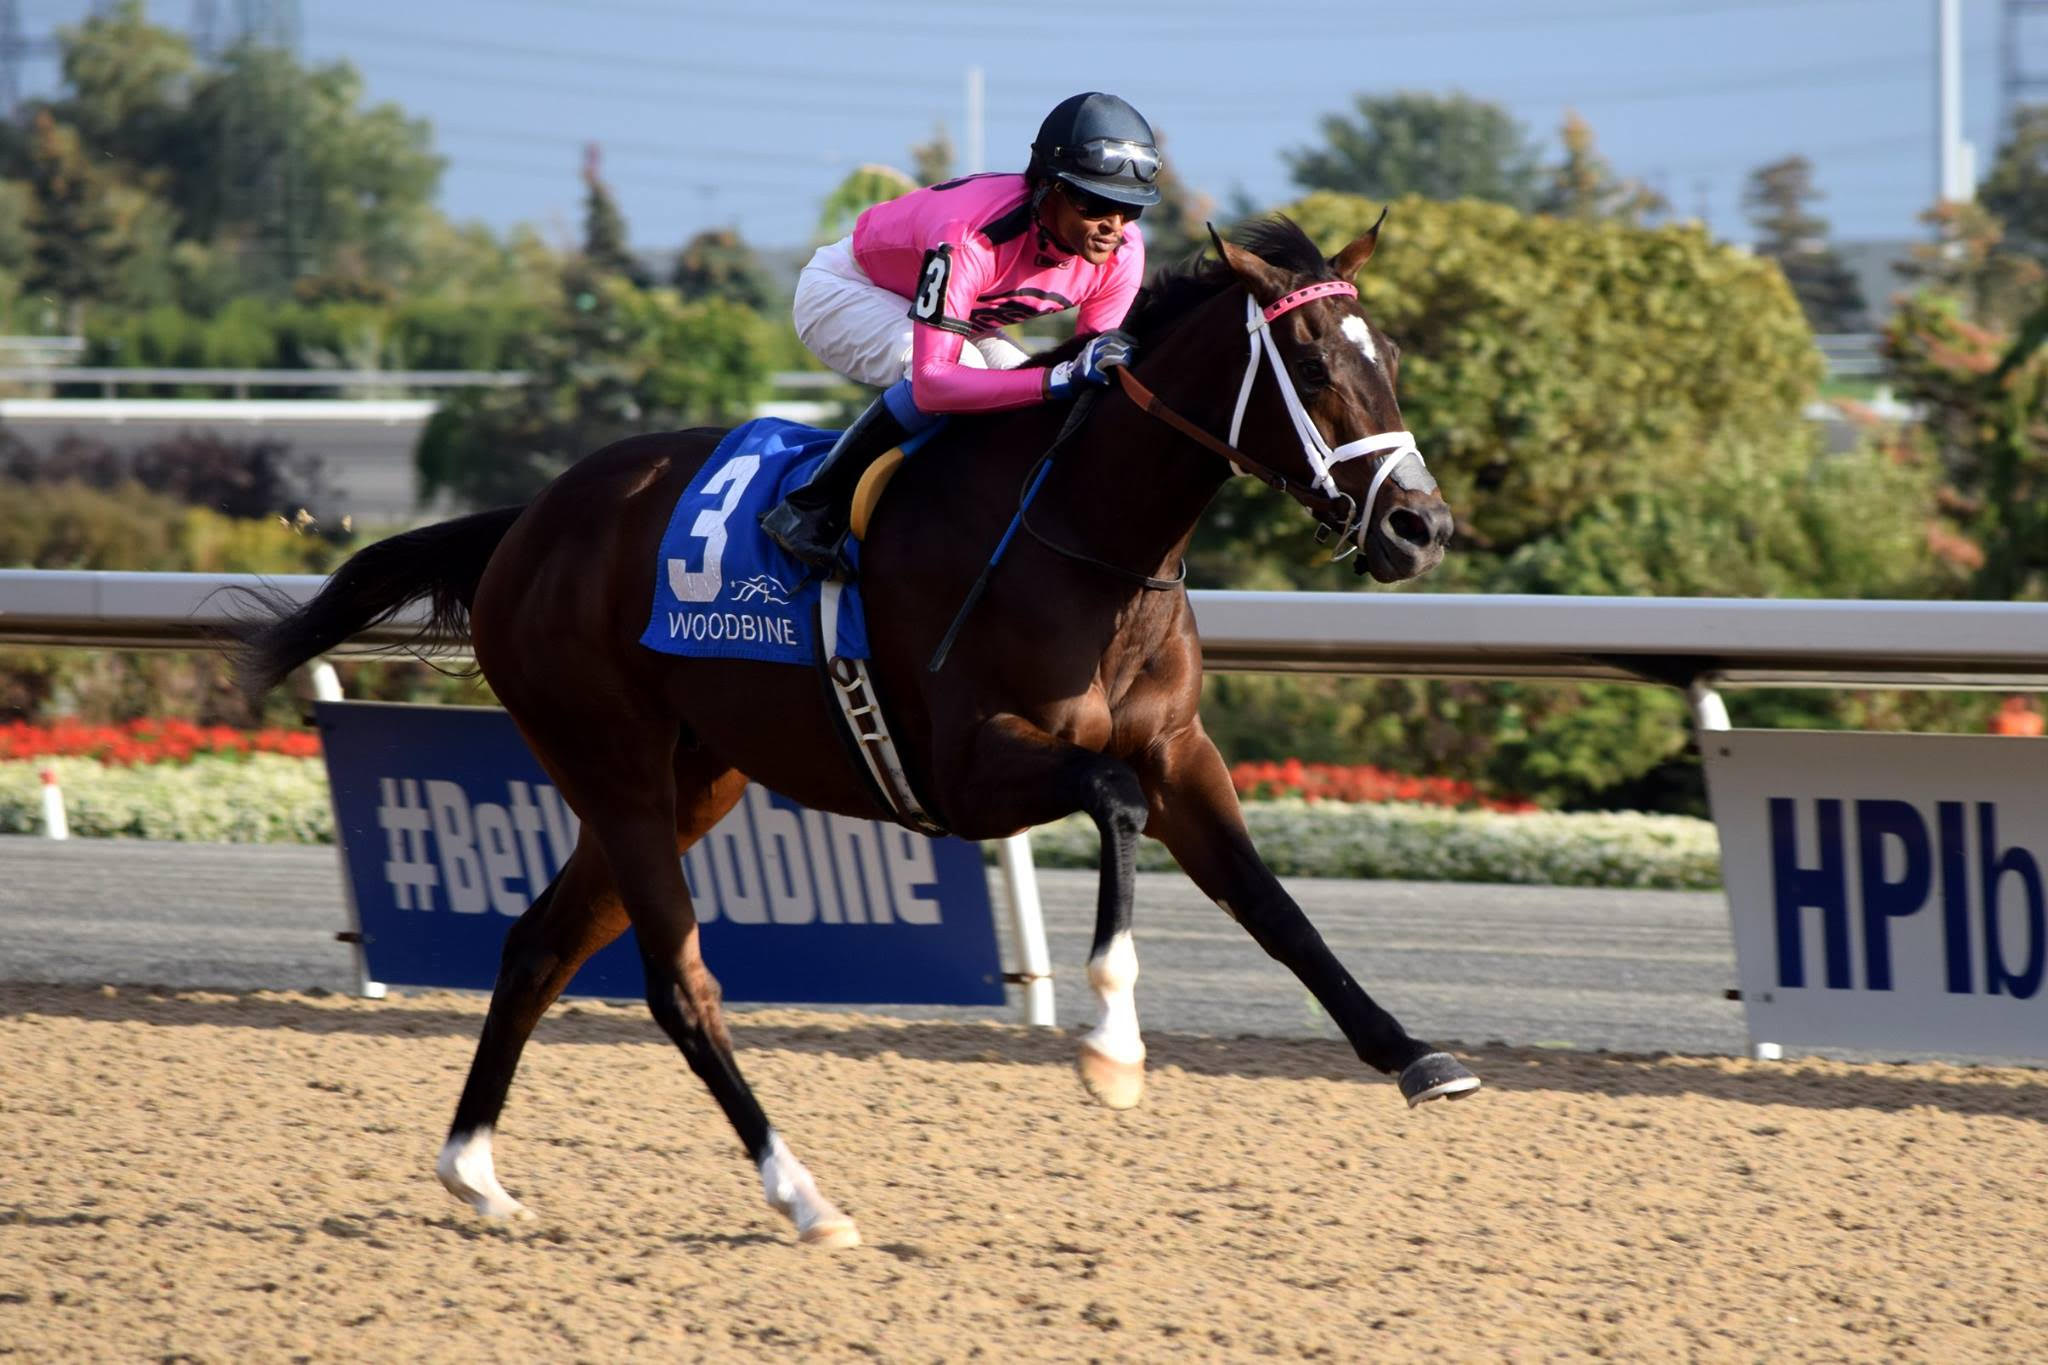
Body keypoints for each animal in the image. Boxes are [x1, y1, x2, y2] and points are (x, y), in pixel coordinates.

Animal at [236, 215, 1474, 1250]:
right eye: (1308, 364)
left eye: (1388, 356)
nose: (1419, 528)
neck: (1083, 538)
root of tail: (529, 521)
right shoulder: (970, 769)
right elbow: (1112, 804)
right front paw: (1111, 1052)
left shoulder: (1179, 751)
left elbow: (1271, 904)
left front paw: (1416, 1057)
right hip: (611, 760)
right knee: (676, 984)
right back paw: (801, 1195)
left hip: (691, 781)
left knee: (539, 944)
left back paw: (475, 1173)